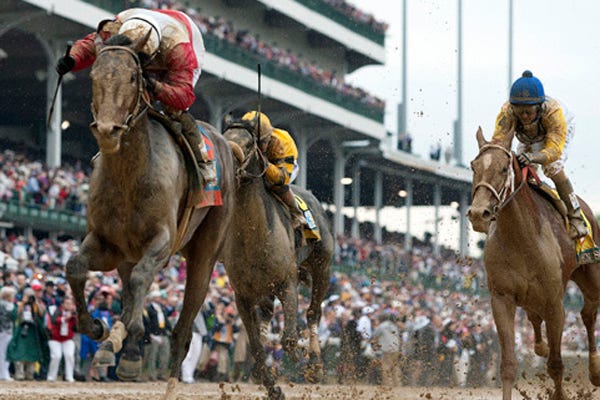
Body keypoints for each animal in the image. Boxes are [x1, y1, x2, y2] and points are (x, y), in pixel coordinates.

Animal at [65, 33, 234, 396]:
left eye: (132, 77)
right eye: (94, 76)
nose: (108, 131)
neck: (129, 175)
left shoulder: (161, 241)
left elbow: (142, 280)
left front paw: (120, 342)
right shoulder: (107, 244)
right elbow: (75, 267)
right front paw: (98, 328)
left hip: (205, 250)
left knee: (184, 320)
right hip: (128, 254)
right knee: (130, 289)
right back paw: (120, 348)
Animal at [221, 122, 332, 400]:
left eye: (248, 143)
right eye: (224, 136)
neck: (253, 234)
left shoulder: (287, 283)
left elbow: (289, 339)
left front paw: (301, 360)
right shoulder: (243, 295)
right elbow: (257, 347)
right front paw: (272, 386)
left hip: (322, 267)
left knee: (313, 312)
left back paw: (315, 363)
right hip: (264, 287)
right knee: (267, 314)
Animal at [468, 128, 600, 400]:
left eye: (503, 169)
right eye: (473, 166)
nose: (478, 213)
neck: (521, 238)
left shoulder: (555, 304)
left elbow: (556, 364)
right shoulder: (502, 298)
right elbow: (508, 365)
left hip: (591, 278)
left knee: (588, 314)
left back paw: (594, 370)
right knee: (535, 317)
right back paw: (540, 346)